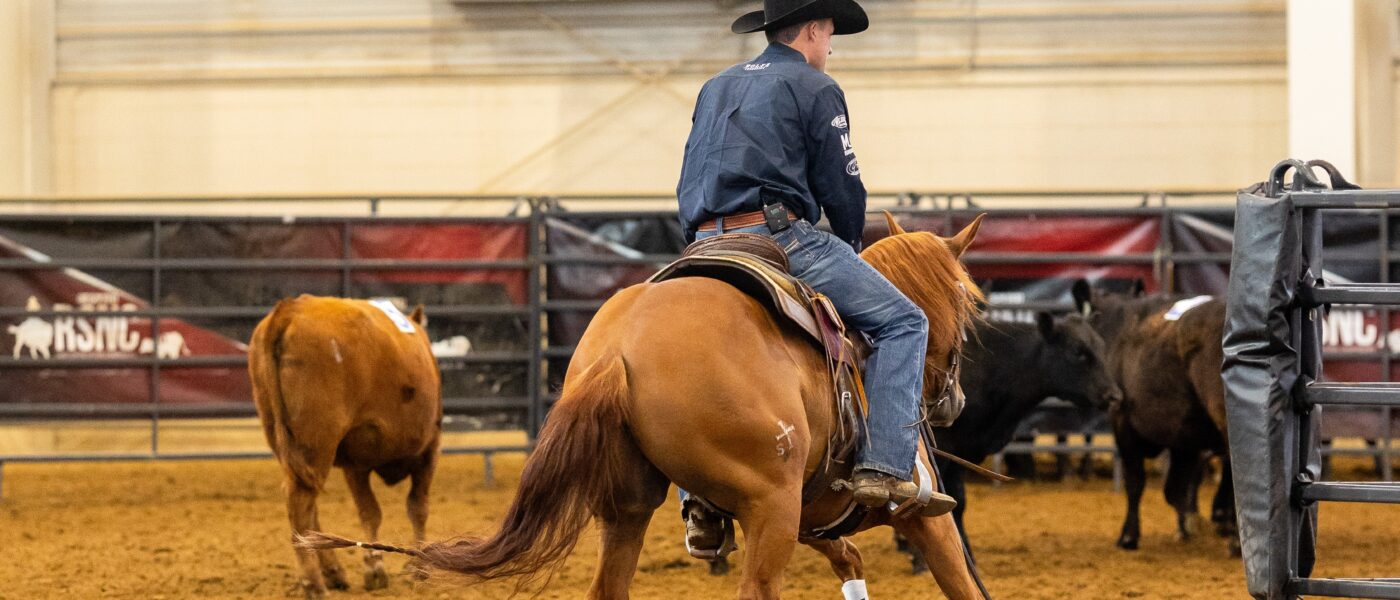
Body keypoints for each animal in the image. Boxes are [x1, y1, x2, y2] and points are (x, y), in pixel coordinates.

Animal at [249, 295, 442, 599]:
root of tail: (289, 309)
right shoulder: (429, 449)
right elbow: (417, 508)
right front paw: (418, 568)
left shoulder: (355, 463)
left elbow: (370, 512)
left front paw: (376, 567)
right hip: (317, 439)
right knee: (300, 500)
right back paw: (313, 582)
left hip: (287, 442)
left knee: (309, 503)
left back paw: (333, 572)